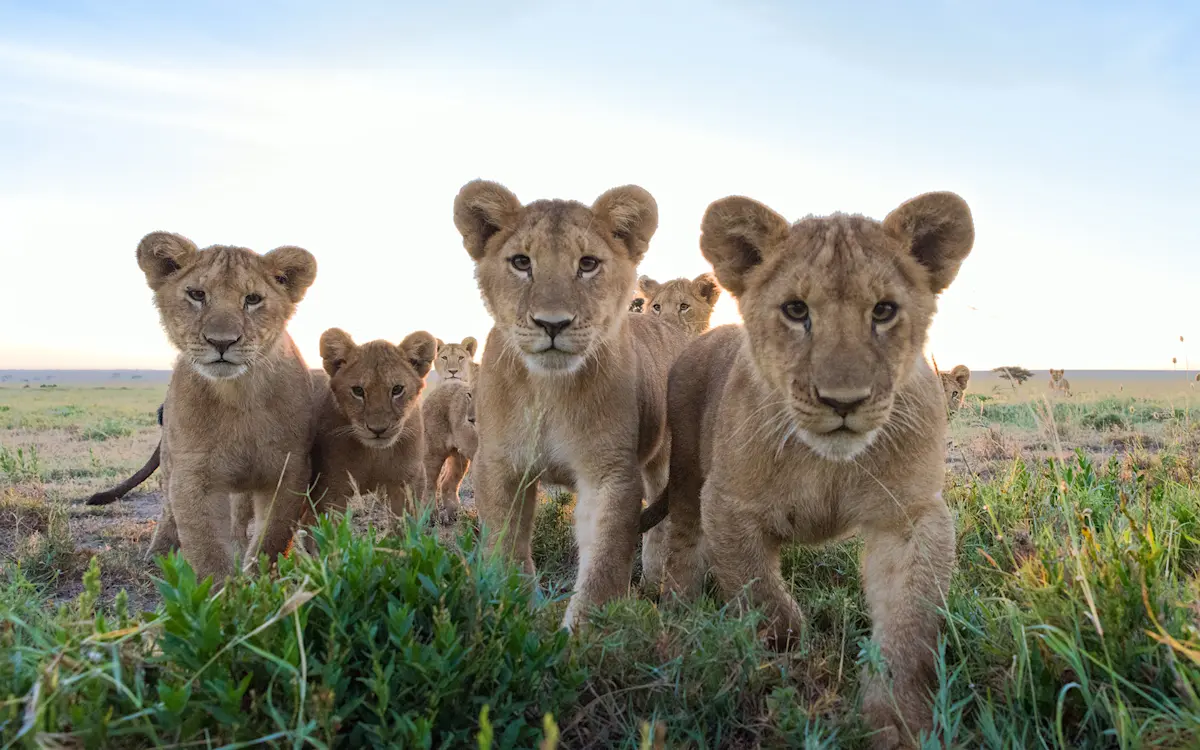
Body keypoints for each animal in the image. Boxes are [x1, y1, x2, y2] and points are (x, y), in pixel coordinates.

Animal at [137, 231, 318, 584]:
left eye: (253, 299)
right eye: (196, 294)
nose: (222, 342)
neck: (239, 395)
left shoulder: (289, 470)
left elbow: (272, 537)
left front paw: (258, 582)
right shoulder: (193, 475)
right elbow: (206, 551)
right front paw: (224, 593)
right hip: (170, 461)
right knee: (168, 510)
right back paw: (158, 553)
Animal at [306, 328, 435, 521]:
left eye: (397, 389)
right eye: (358, 391)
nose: (378, 429)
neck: (375, 455)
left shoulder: (409, 481)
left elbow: (405, 525)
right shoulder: (330, 490)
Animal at [421, 379, 478, 525]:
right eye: (469, 395)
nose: (471, 419)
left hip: (460, 456)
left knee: (447, 483)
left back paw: (457, 514)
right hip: (433, 452)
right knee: (429, 484)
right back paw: (430, 517)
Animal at [452, 178, 691, 629]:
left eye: (588, 264)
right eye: (521, 262)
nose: (552, 324)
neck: (549, 389)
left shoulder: (611, 472)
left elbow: (603, 566)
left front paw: (580, 637)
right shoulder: (499, 465)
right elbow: (505, 548)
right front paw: (512, 617)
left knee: (666, 525)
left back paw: (659, 586)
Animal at [641, 191, 974, 748]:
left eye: (884, 311)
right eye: (796, 311)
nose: (843, 401)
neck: (827, 463)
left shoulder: (909, 517)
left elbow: (910, 625)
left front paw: (897, 722)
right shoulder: (727, 505)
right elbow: (768, 604)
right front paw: (783, 680)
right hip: (685, 475)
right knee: (682, 548)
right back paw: (680, 627)